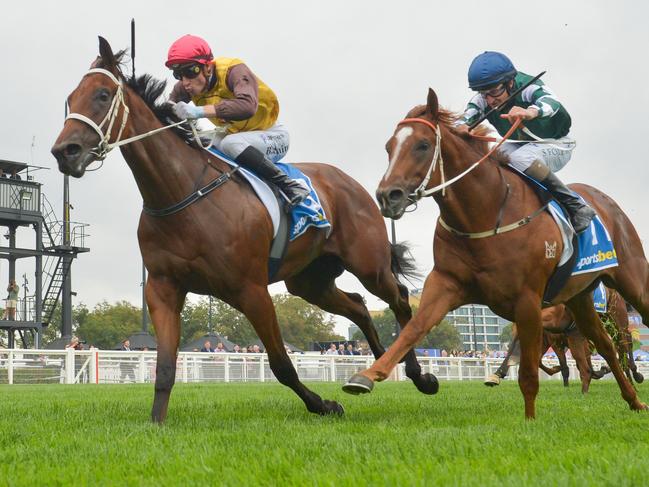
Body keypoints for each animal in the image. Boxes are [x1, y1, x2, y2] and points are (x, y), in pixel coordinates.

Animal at [50, 39, 436, 424]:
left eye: (102, 95)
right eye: (70, 98)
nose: (64, 151)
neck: (182, 193)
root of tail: (352, 183)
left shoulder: (251, 290)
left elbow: (282, 365)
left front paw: (321, 404)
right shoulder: (162, 288)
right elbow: (164, 367)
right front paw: (156, 422)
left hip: (369, 265)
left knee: (400, 298)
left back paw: (419, 375)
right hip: (310, 281)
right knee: (358, 306)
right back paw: (373, 369)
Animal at [342, 87, 644, 420]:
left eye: (422, 145)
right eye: (389, 147)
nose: (388, 196)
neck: (485, 213)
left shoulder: (528, 301)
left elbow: (528, 372)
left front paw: (529, 420)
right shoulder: (446, 283)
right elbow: (413, 329)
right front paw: (366, 376)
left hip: (630, 282)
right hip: (579, 297)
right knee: (605, 344)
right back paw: (634, 401)